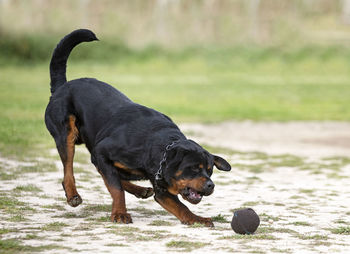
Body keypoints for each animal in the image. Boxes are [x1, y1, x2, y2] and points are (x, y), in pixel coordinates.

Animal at [45, 29, 231, 226]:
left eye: (210, 171)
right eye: (194, 168)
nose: (211, 185)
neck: (155, 147)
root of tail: (62, 86)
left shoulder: (161, 185)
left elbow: (181, 207)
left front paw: (197, 219)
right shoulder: (102, 152)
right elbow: (116, 189)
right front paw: (120, 213)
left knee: (110, 174)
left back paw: (140, 189)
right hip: (67, 136)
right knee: (70, 170)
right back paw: (73, 194)